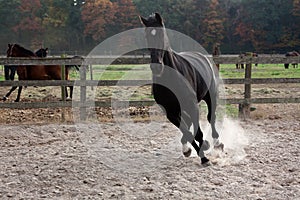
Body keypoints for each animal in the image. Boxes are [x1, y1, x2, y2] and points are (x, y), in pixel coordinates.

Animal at [141, 13, 223, 165]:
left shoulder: (192, 105)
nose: (156, 66)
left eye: (161, 35)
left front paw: (204, 154)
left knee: (211, 118)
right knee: (189, 124)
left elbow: (197, 133)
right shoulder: (170, 112)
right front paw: (193, 151)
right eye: (146, 36)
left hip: (211, 96)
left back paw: (217, 143)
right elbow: (187, 132)